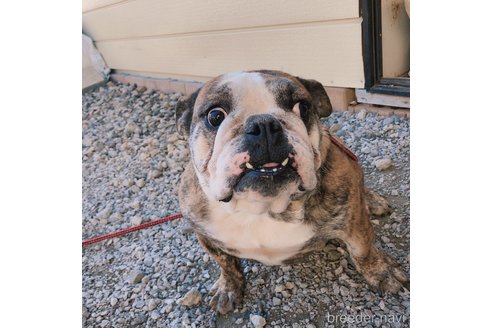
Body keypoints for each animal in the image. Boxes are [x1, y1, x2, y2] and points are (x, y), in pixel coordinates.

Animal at [175, 70, 410, 314]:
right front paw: (228, 288)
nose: (264, 124)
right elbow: (226, 263)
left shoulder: (355, 224)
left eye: (302, 107)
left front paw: (382, 273)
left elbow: (362, 250)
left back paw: (374, 201)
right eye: (215, 116)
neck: (263, 206)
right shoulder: (205, 234)